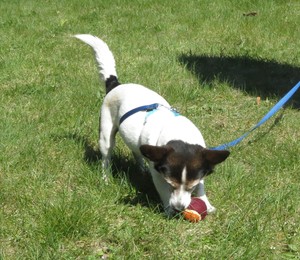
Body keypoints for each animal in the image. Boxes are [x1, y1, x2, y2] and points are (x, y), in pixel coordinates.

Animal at [75, 35, 230, 217]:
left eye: (190, 187)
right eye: (171, 184)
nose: (179, 208)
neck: (179, 133)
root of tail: (115, 84)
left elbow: (201, 185)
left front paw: (206, 203)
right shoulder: (159, 174)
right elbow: (162, 190)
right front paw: (169, 210)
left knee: (137, 151)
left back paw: (142, 170)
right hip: (106, 135)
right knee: (106, 158)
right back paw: (106, 178)